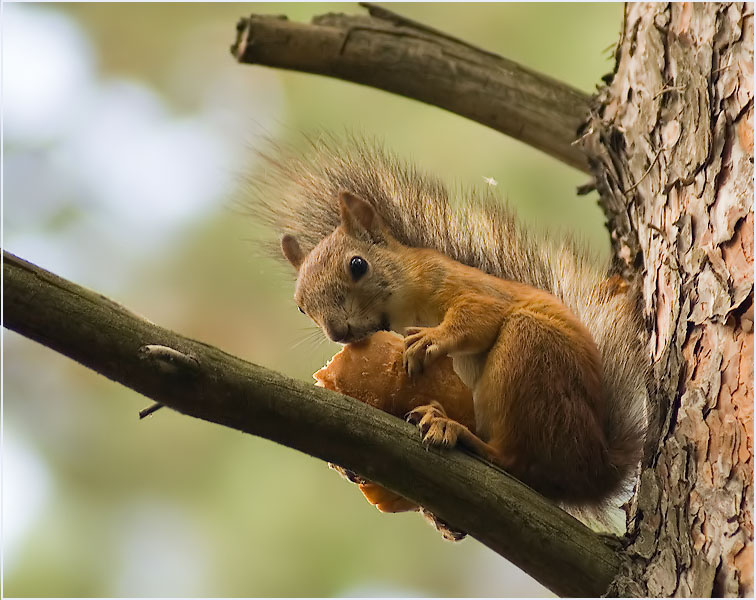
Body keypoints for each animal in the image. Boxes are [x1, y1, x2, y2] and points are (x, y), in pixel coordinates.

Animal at [250, 135, 649, 527]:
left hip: (531, 355)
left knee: (516, 461)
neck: (406, 302)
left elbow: (479, 316)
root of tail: (593, 471)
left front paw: (432, 339)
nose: (336, 332)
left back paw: (458, 433)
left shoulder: (467, 288)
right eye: (301, 305)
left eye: (358, 265)